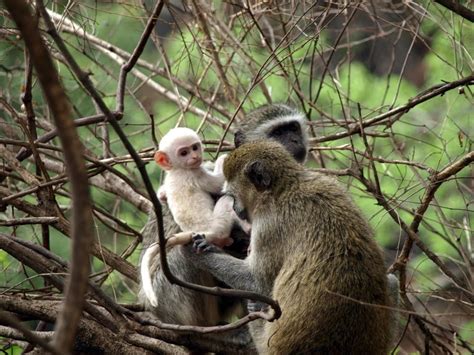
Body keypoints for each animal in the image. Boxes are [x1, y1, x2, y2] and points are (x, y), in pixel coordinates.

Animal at [141, 129, 237, 308]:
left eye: (195, 147)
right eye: (184, 153)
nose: (195, 157)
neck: (176, 169)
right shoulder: (195, 174)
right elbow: (219, 184)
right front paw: (223, 159)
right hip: (217, 225)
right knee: (226, 200)